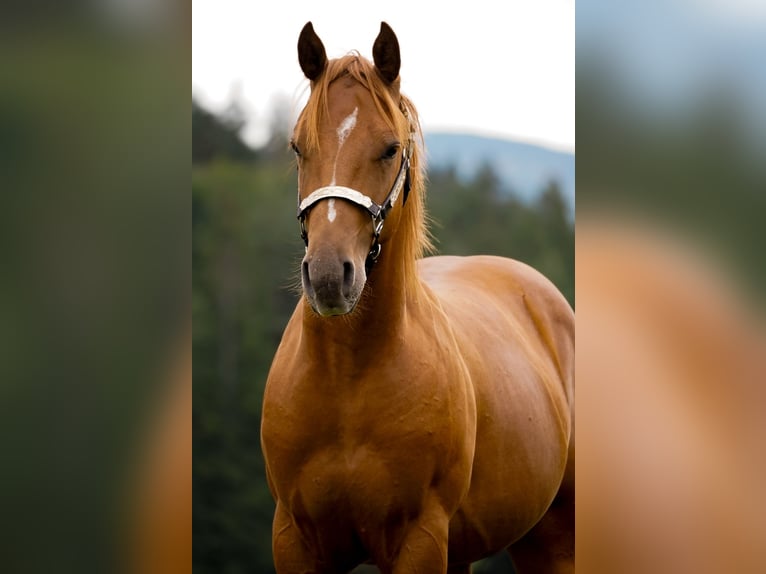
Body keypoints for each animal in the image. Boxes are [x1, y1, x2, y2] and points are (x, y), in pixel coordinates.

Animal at [260, 22, 574, 573]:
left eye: (389, 148)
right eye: (298, 147)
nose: (328, 275)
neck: (348, 378)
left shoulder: (421, 539)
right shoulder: (293, 540)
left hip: (554, 540)